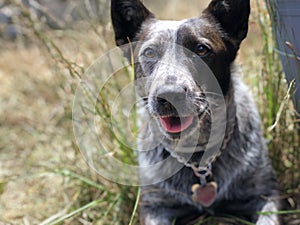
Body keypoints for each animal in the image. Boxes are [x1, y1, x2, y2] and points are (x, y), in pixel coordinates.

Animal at [111, 0, 280, 225]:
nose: (169, 95)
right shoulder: (155, 205)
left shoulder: (265, 194)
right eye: (149, 53)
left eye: (201, 49)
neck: (197, 159)